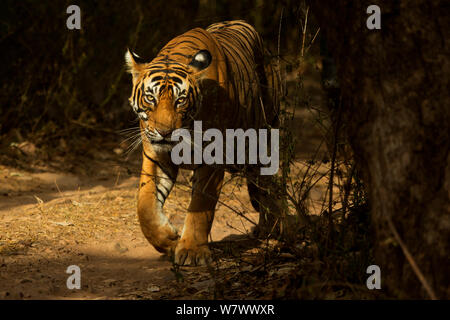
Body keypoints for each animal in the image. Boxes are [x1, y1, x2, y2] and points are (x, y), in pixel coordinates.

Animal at [125, 19, 284, 264]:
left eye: (180, 101)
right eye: (151, 98)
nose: (164, 132)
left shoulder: (212, 157)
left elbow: (201, 205)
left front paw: (192, 251)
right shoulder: (156, 156)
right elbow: (145, 206)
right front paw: (169, 239)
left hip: (265, 137)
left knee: (269, 183)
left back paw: (273, 228)